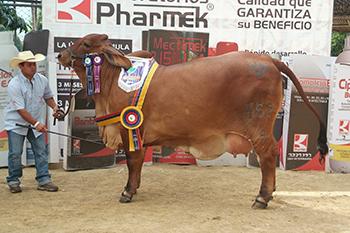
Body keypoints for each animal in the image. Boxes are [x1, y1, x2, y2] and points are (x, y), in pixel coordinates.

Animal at [57, 33, 328, 208]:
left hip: (259, 128)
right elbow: (139, 163)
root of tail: (270, 60)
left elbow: (133, 161)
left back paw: (262, 197)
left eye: (86, 44)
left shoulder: (129, 129)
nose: (60, 54)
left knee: (268, 156)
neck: (113, 80)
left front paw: (127, 191)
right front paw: (135, 188)